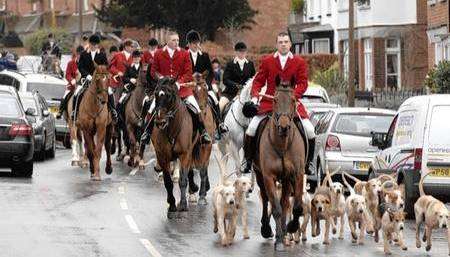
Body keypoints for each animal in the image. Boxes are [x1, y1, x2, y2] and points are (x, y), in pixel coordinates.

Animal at [151, 76, 199, 218]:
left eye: (169, 96)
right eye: (156, 94)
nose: (160, 121)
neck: (172, 127)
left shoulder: (185, 153)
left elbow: (183, 180)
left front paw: (182, 205)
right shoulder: (162, 156)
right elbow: (168, 182)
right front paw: (172, 204)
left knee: (188, 170)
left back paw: (193, 190)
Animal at [253, 76, 306, 250]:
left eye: (293, 99)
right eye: (274, 100)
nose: (283, 127)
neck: (282, 144)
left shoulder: (297, 174)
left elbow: (296, 207)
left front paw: (291, 227)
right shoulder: (269, 176)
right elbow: (275, 208)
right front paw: (279, 240)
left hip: (286, 179)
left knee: (285, 203)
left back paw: (283, 230)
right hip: (259, 174)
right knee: (266, 198)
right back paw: (268, 229)